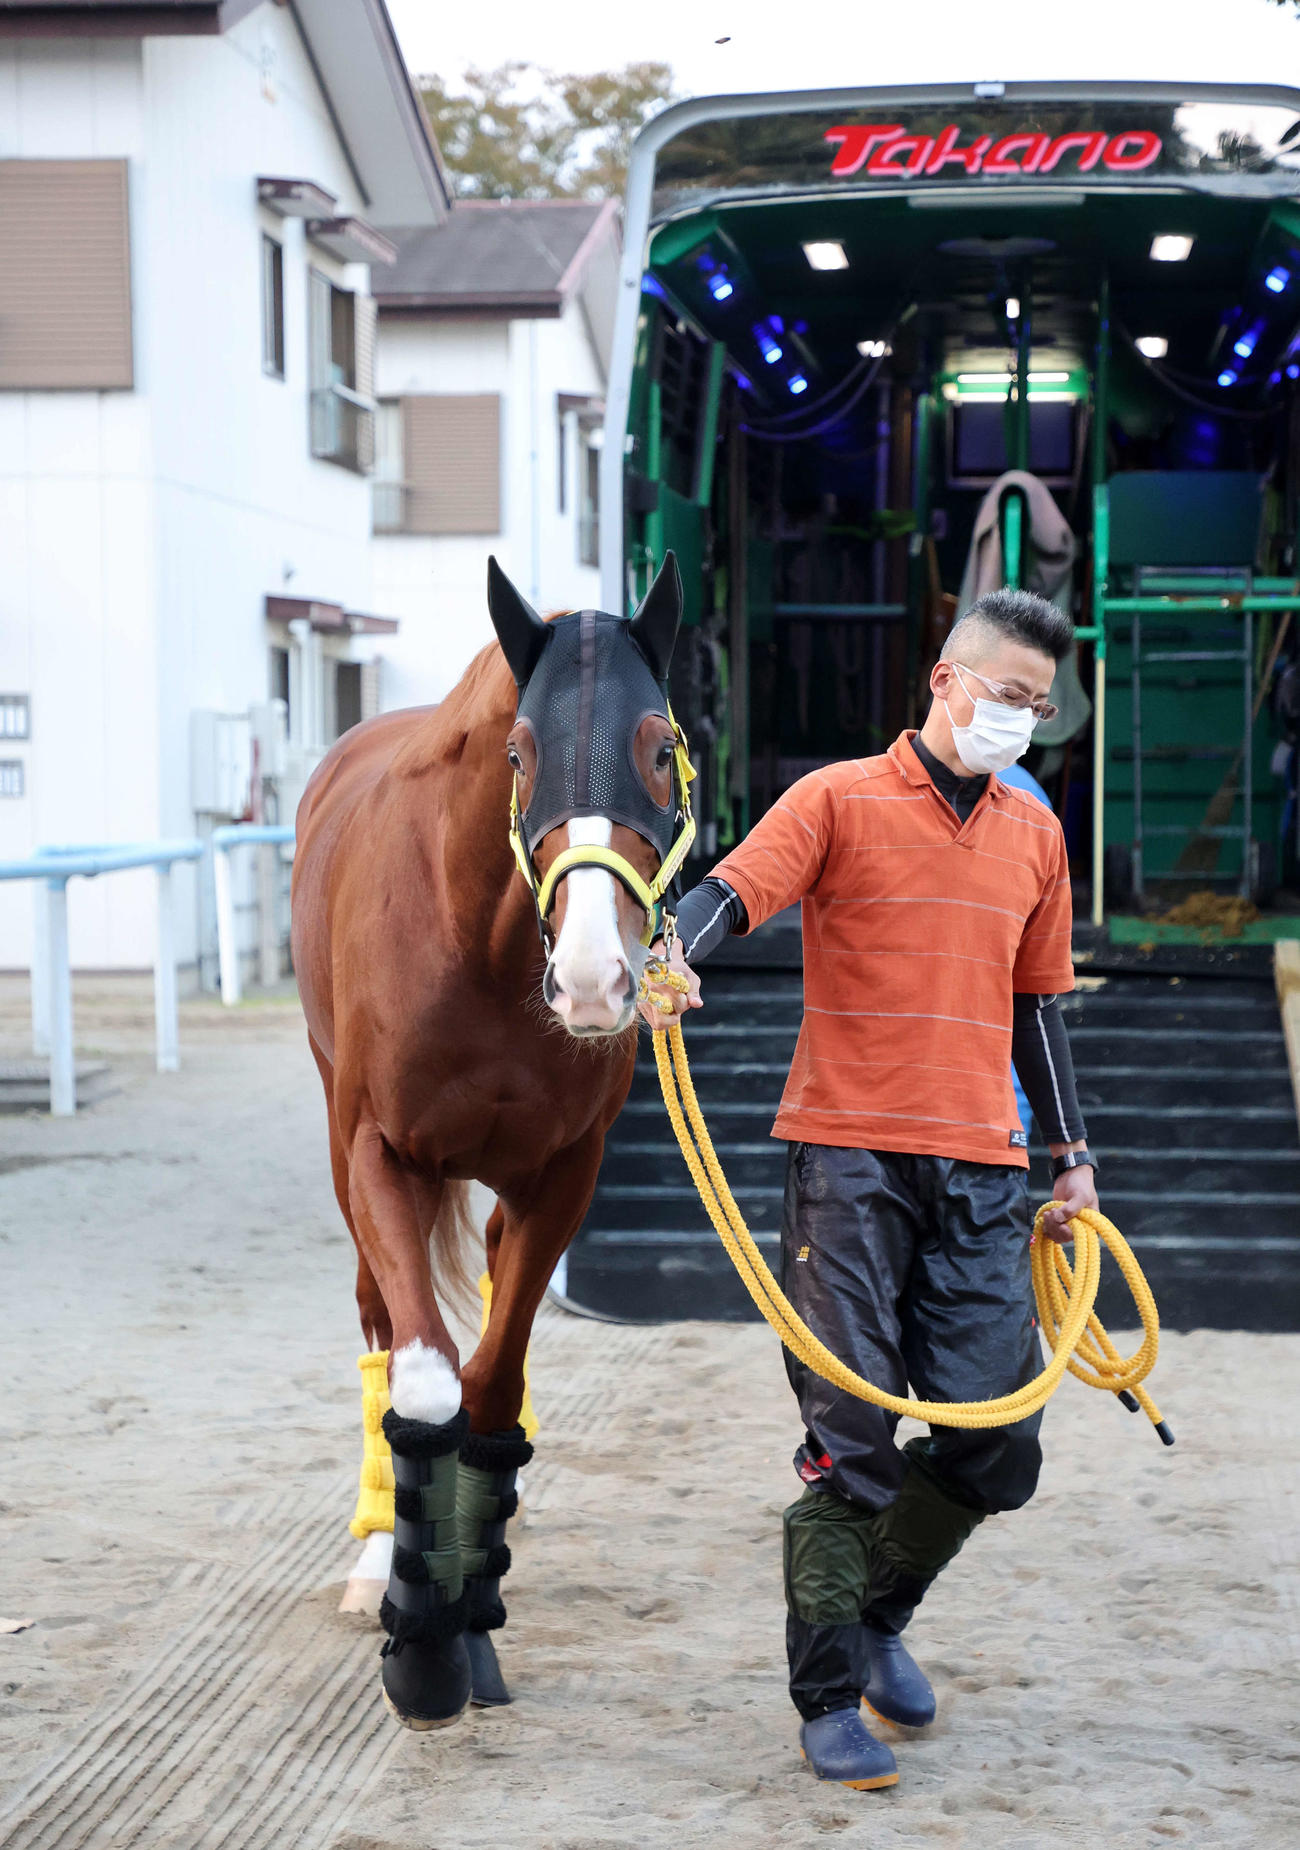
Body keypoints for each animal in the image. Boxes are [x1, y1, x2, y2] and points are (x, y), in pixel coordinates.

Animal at [290, 553, 690, 1728]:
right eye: (519, 752)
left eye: (660, 746)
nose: (597, 979)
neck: (479, 943)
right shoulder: (381, 1160)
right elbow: (426, 1382)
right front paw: (421, 1639)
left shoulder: (561, 1176)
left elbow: (493, 1386)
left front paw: (467, 1610)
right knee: (387, 1335)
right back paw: (377, 1556)